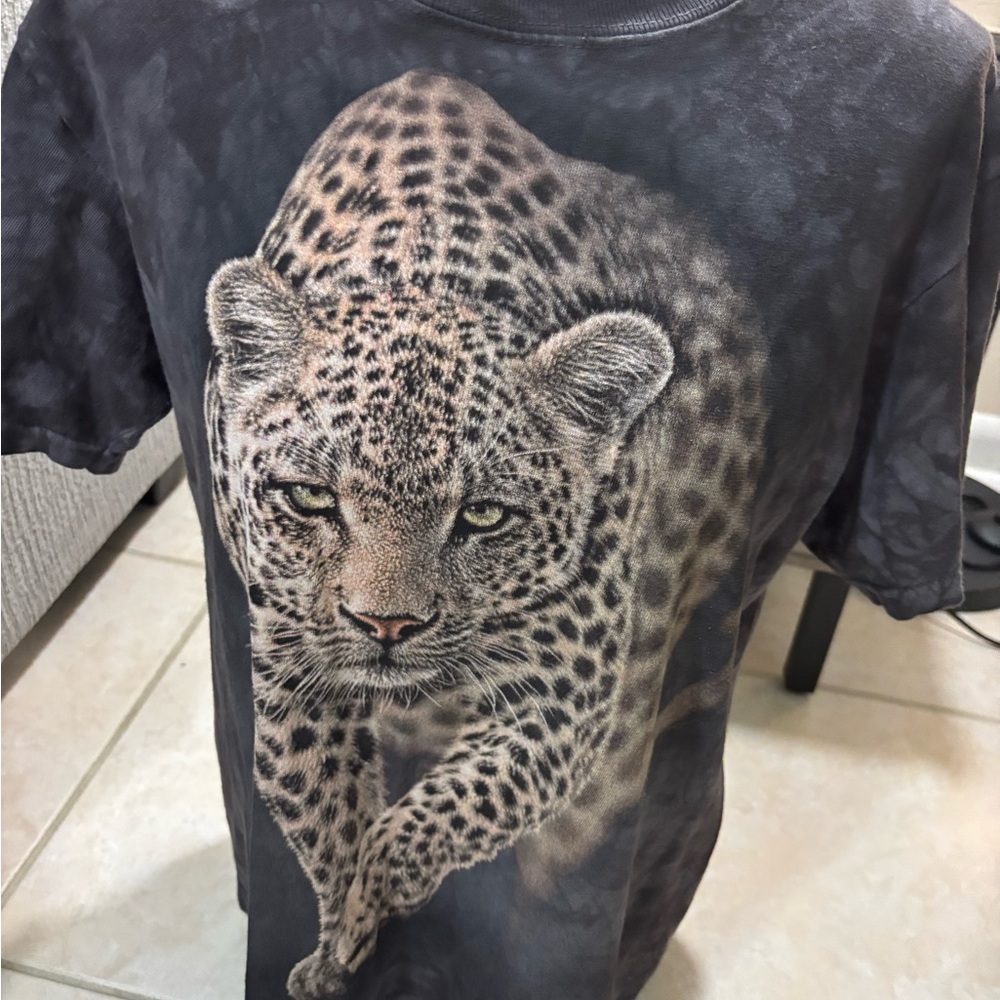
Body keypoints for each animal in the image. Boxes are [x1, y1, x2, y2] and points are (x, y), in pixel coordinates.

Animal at [205, 68, 767, 1000]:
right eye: (313, 499)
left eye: (482, 516)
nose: (386, 627)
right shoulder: (294, 676)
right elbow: (324, 820)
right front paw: (340, 943)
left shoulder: (565, 691)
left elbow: (432, 820)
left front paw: (371, 911)